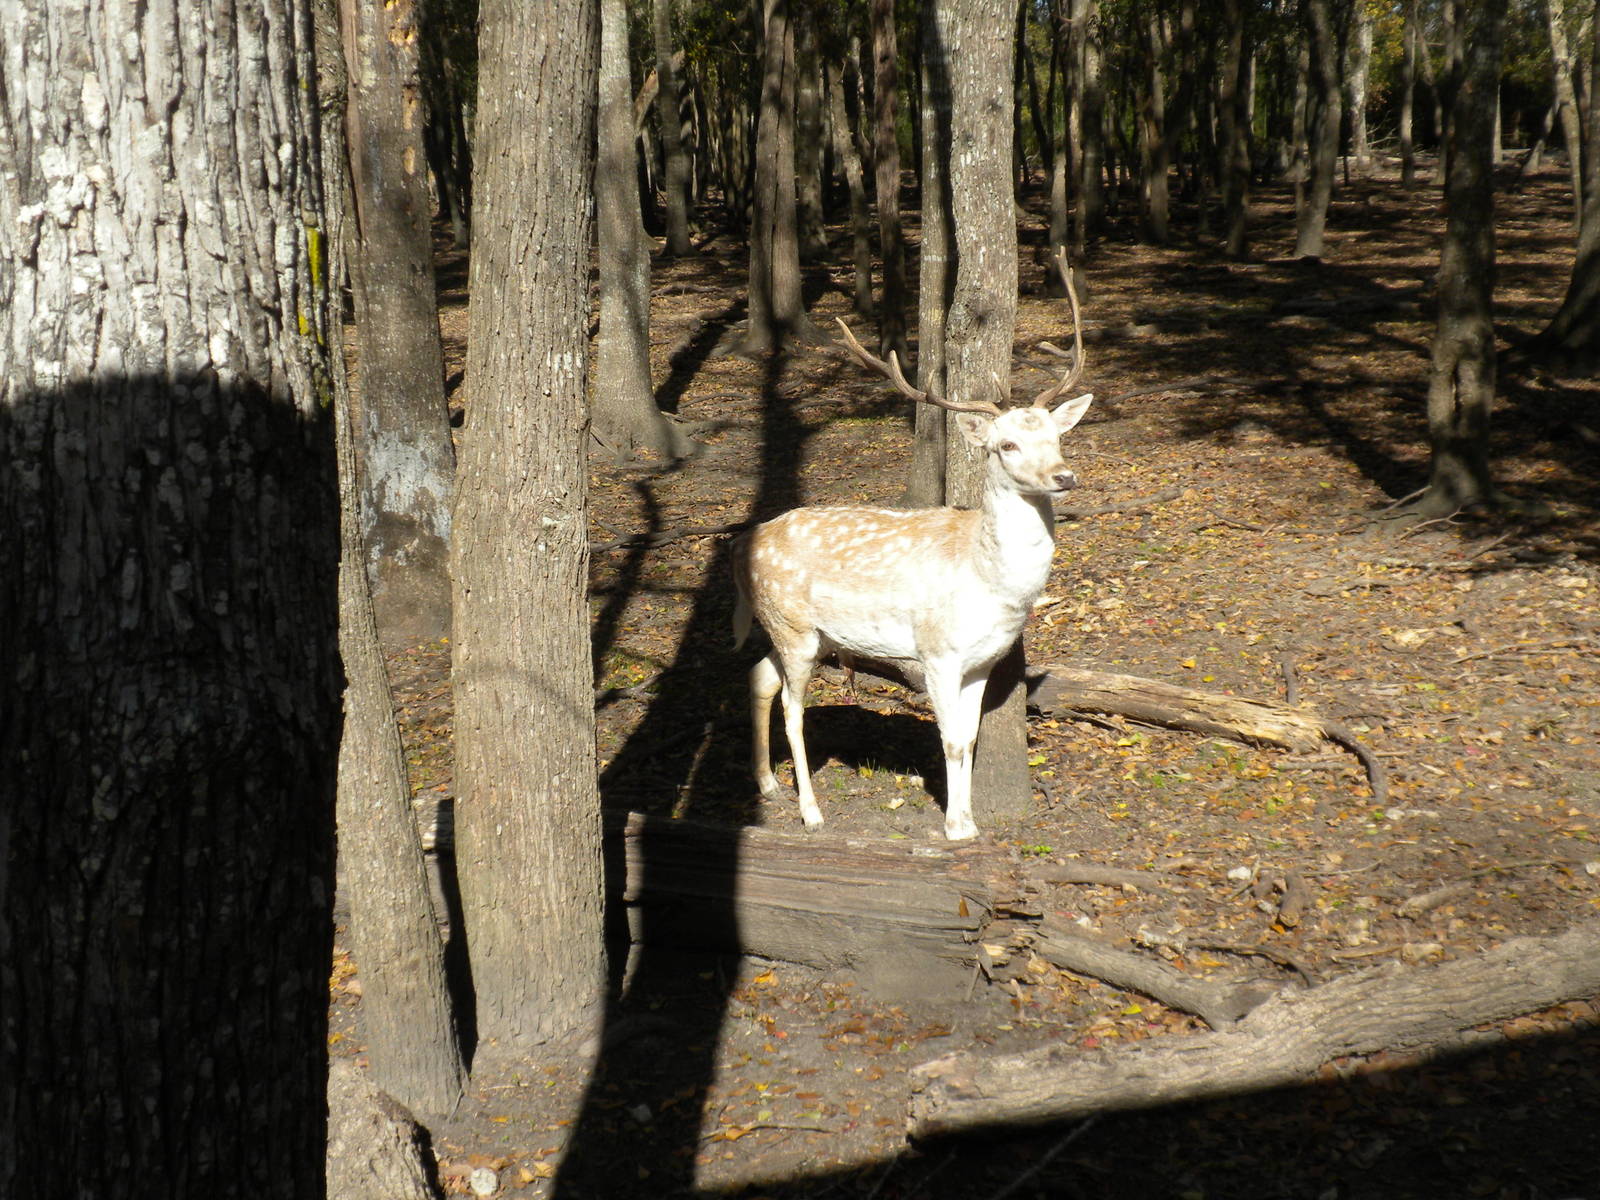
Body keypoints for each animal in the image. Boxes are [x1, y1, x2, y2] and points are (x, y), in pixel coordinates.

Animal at [731, 253, 1093, 841]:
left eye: (1058, 438)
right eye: (1006, 444)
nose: (1064, 477)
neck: (990, 583)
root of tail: (740, 545)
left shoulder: (982, 661)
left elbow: (969, 737)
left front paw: (967, 820)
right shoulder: (936, 651)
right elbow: (949, 739)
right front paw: (955, 826)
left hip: (811, 632)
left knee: (760, 674)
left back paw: (765, 783)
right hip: (792, 625)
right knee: (792, 705)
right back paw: (811, 811)